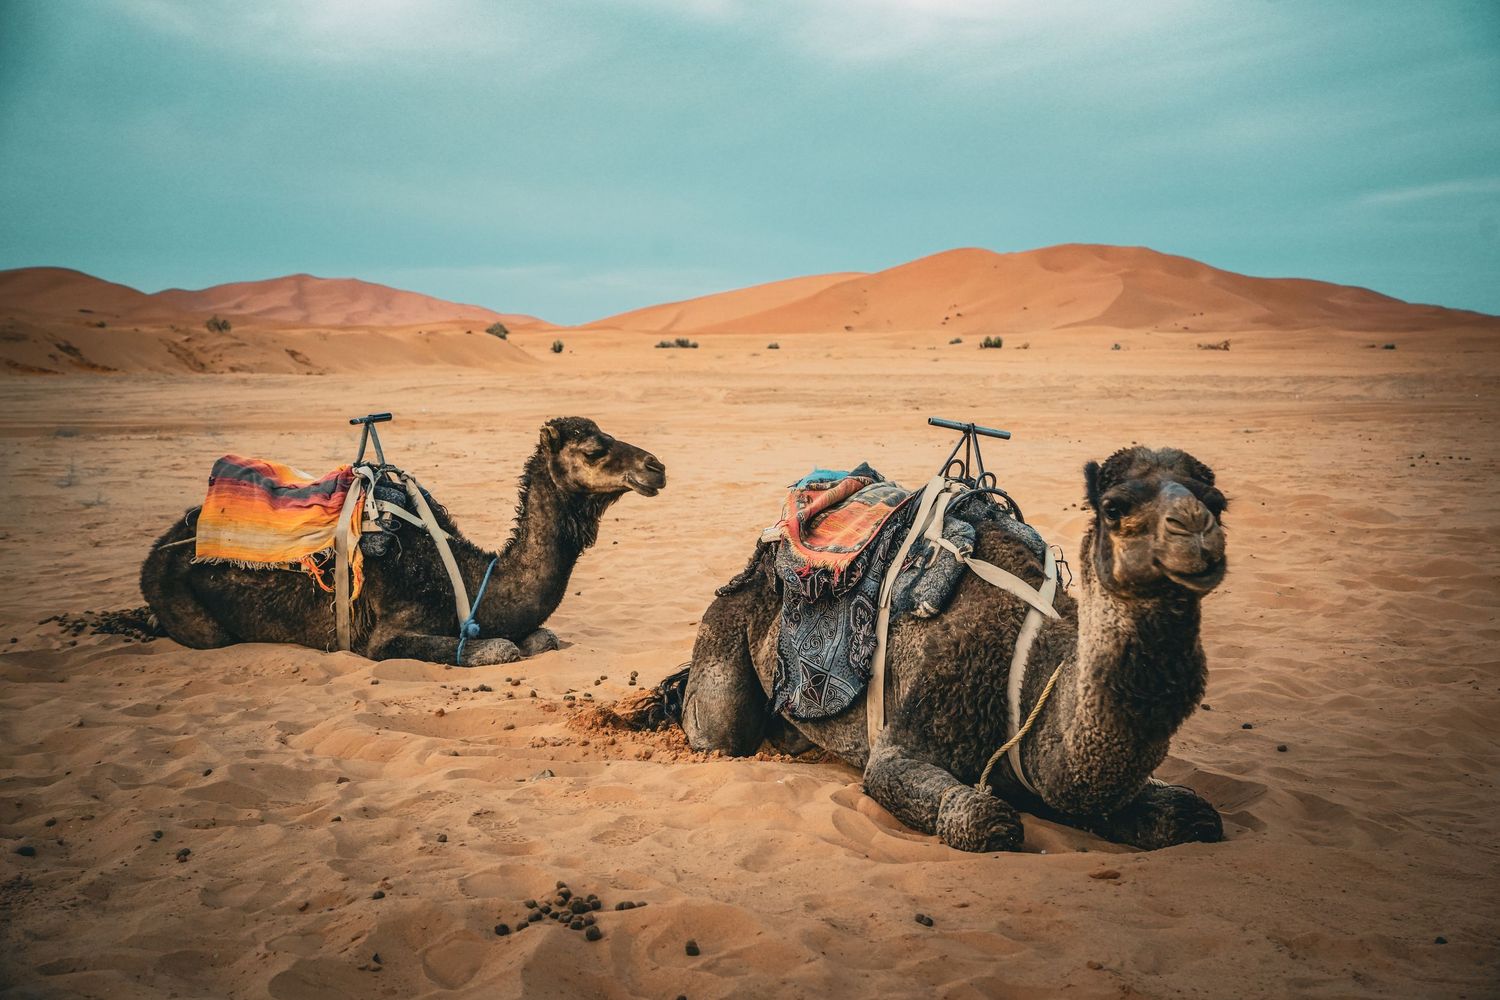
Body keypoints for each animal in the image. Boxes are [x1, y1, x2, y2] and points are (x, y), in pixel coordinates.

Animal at [140, 416, 666, 666]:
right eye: (594, 450)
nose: (656, 466)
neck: (469, 577)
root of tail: (157, 550)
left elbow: (543, 638)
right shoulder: (385, 636)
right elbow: (501, 648)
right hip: (186, 609)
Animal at [667, 445, 1227, 852]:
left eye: (1218, 502)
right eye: (1113, 507)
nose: (1194, 533)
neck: (1027, 673)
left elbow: (1192, 813)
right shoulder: (915, 724)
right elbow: (983, 819)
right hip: (728, 617)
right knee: (719, 729)